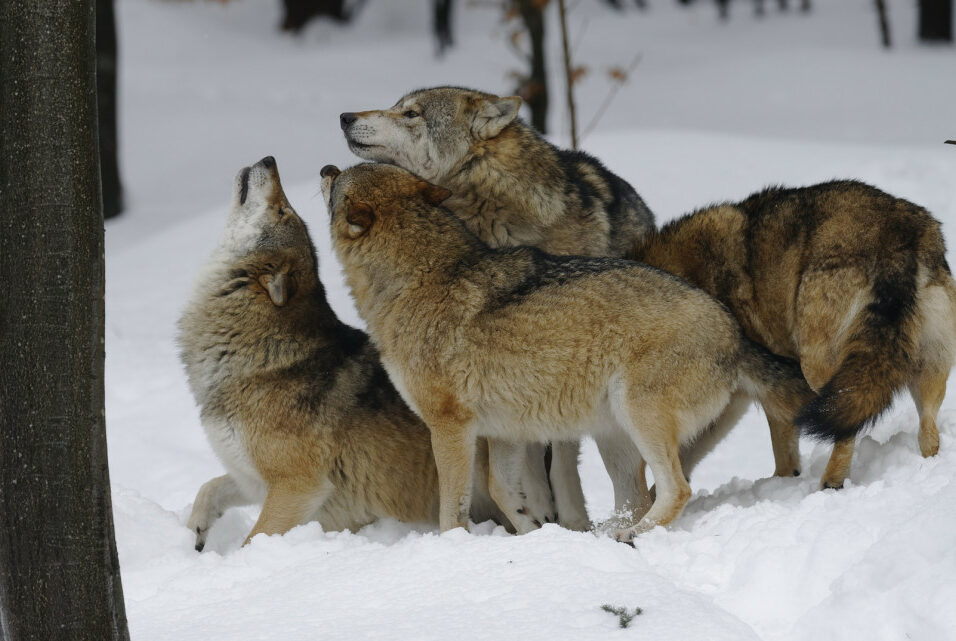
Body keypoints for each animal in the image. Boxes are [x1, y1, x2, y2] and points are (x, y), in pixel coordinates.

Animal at [181, 156, 508, 552]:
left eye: (282, 210)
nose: (269, 160)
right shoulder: (251, 479)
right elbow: (208, 488)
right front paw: (195, 534)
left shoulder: (299, 485)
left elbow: (253, 541)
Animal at [322, 161, 816, 540]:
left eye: (339, 181)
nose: (324, 167)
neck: (418, 279)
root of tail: (733, 331)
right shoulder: (504, 431)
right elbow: (503, 491)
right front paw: (532, 532)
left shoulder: (450, 428)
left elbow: (453, 508)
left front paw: (452, 548)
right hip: (615, 436)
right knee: (639, 496)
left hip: (637, 416)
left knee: (675, 490)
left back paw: (628, 536)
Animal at [340, 85, 660, 524]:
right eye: (396, 105)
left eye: (411, 114)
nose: (345, 117)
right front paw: (534, 511)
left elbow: (559, 456)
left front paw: (567, 519)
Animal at [636, 178, 956, 488]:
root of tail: (898, 235)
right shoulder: (737, 395)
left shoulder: (757, 387)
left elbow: (780, 450)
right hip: (924, 368)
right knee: (928, 432)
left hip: (818, 368)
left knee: (846, 424)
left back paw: (831, 483)